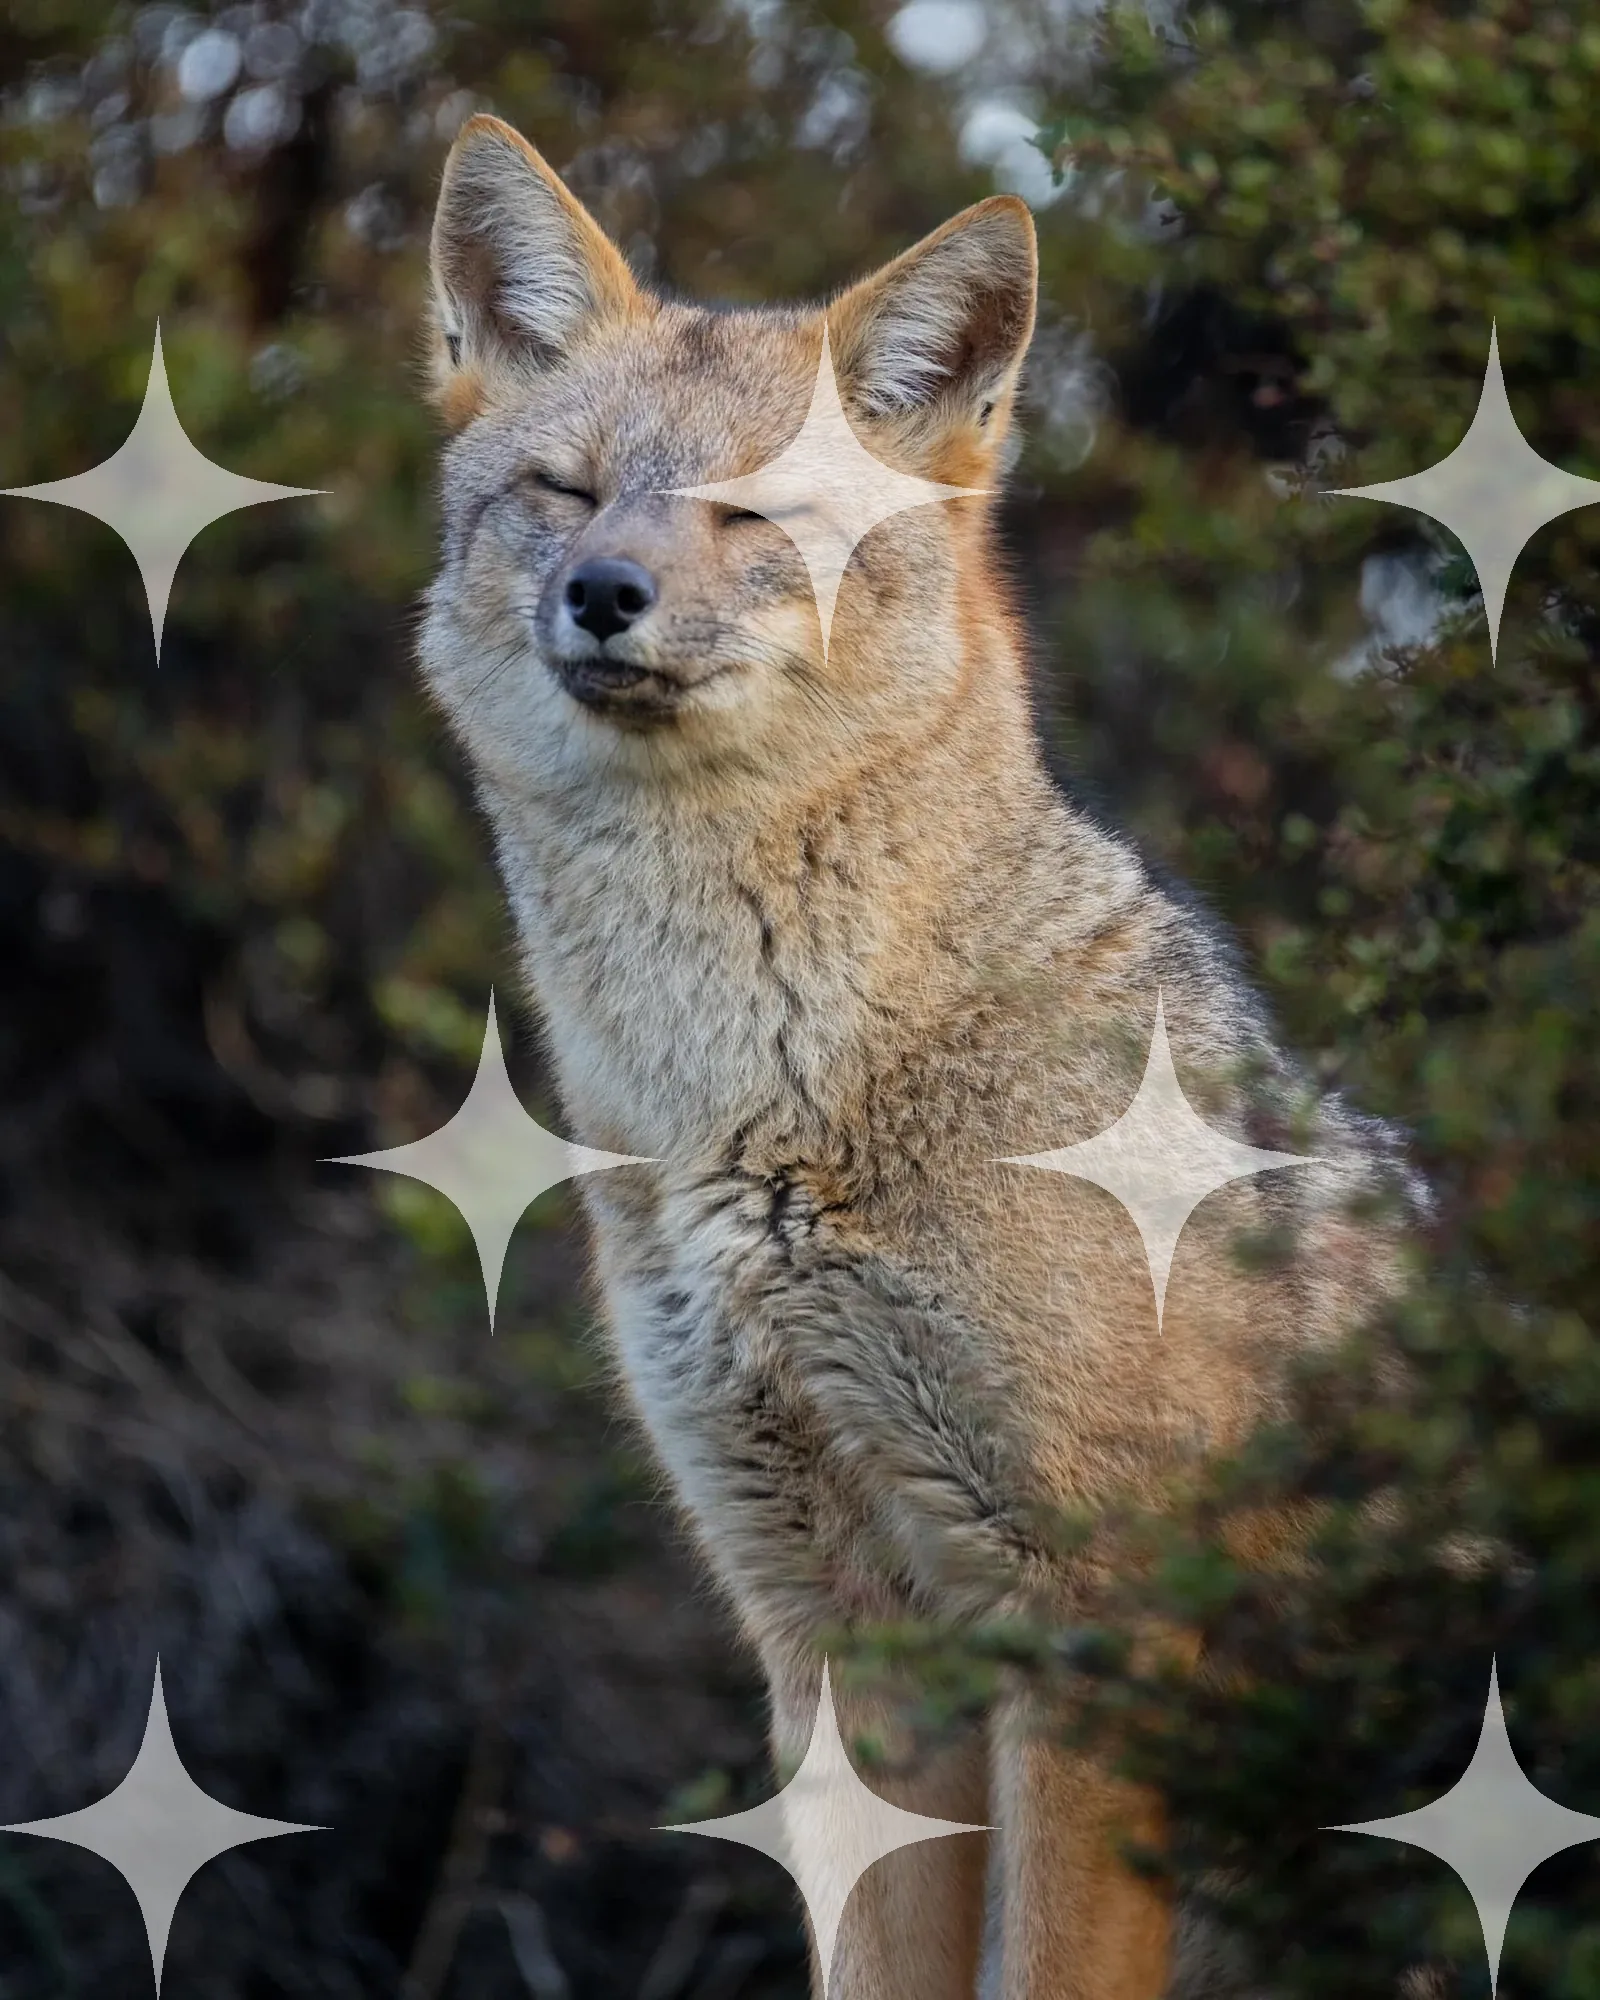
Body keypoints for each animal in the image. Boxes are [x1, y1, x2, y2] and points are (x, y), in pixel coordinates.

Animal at [416, 114, 1419, 2000]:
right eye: (569, 492)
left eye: (759, 513)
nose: (603, 594)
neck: (757, 1115)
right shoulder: (843, 1642)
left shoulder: (1099, 1628)